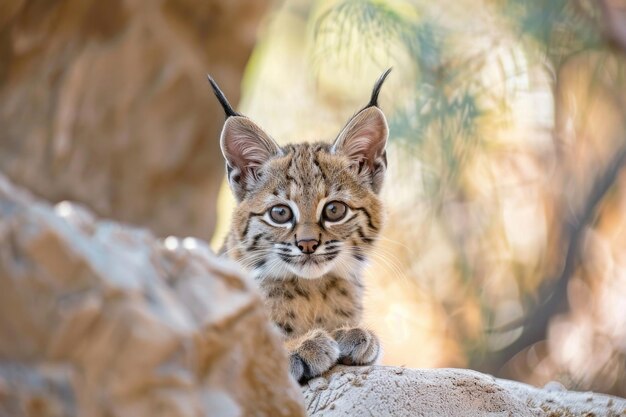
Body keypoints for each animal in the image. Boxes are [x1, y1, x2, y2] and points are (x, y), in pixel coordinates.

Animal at [210, 70, 390, 382]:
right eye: (280, 213)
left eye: (334, 210)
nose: (307, 244)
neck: (314, 288)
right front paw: (299, 346)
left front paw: (350, 332)